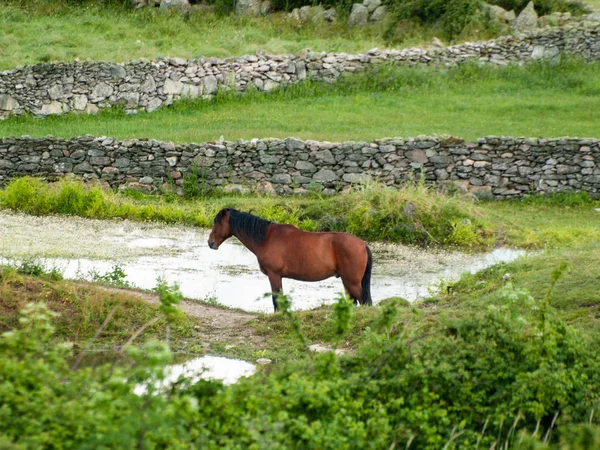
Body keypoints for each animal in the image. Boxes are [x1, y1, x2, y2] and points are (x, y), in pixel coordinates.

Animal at [209, 208, 372, 312]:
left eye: (217, 222)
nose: (210, 243)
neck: (266, 238)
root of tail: (363, 244)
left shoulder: (274, 275)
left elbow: (276, 300)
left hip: (352, 283)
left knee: (365, 302)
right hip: (346, 282)